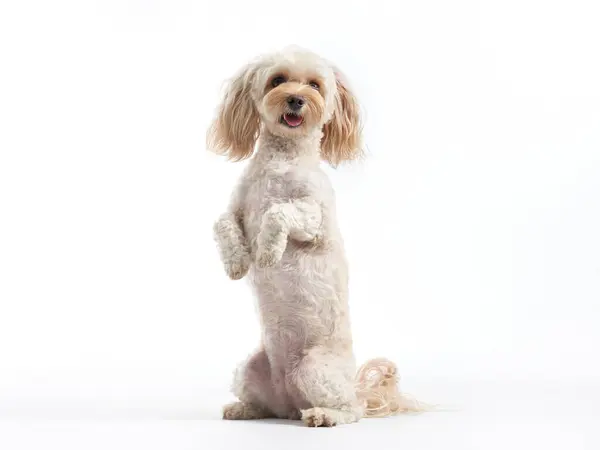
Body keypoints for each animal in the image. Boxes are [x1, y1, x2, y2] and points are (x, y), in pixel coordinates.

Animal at [209, 47, 414, 428]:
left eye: (315, 85)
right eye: (277, 80)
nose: (296, 99)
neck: (282, 158)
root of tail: (291, 402)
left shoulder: (313, 218)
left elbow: (278, 212)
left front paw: (267, 252)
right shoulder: (237, 207)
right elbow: (222, 223)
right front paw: (237, 263)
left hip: (315, 369)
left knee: (352, 411)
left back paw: (323, 415)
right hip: (249, 369)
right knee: (266, 405)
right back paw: (245, 408)